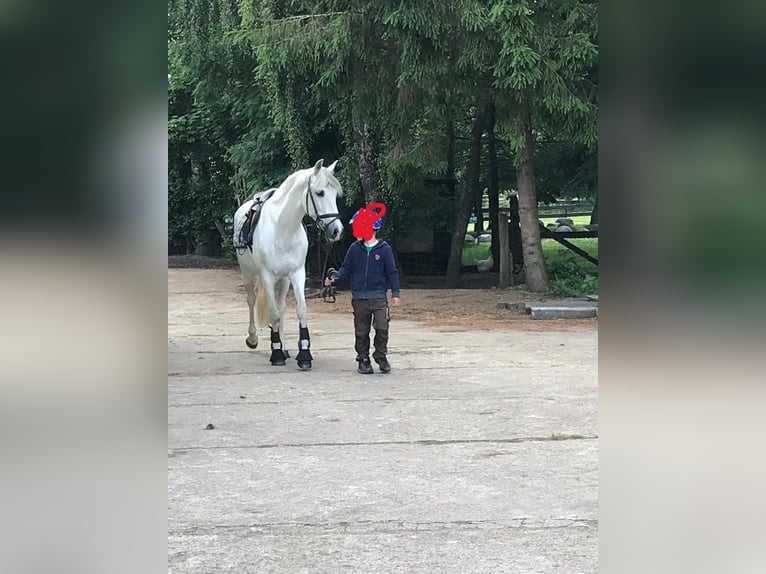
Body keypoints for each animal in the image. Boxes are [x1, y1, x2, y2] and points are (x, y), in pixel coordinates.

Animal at [232, 160, 344, 372]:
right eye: (319, 193)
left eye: (335, 194)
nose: (337, 231)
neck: (283, 228)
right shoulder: (267, 276)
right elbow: (273, 314)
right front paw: (275, 353)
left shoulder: (297, 274)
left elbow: (300, 310)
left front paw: (304, 355)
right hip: (248, 273)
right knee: (252, 300)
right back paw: (254, 338)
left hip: (283, 280)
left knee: (282, 306)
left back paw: (283, 347)